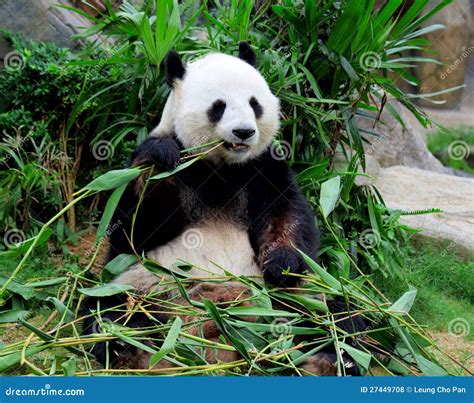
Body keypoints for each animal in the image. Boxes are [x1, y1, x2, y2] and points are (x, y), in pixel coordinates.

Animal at [83, 42, 364, 378]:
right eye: (219, 106)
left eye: (254, 104)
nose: (243, 132)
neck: (221, 167)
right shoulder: (167, 163)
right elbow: (133, 229)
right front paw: (160, 158)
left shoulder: (263, 167)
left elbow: (287, 213)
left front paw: (279, 261)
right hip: (148, 284)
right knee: (109, 310)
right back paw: (126, 345)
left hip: (296, 297)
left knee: (337, 316)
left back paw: (328, 359)